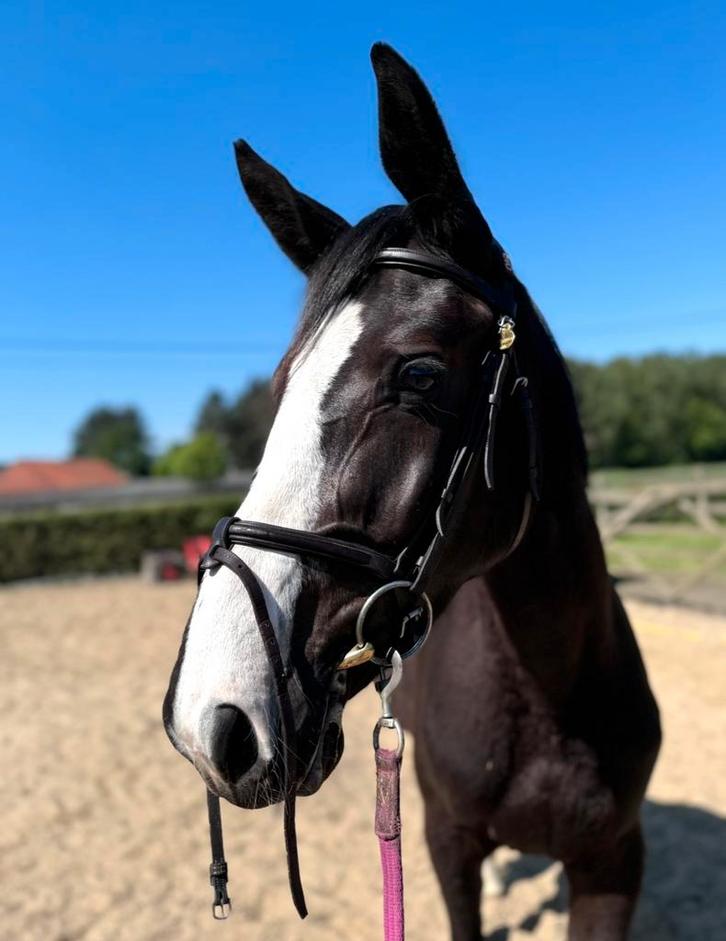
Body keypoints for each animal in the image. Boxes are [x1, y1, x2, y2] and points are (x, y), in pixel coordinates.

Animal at [163, 43, 661, 941]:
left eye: (419, 374)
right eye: (282, 386)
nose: (209, 719)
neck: (550, 689)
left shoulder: (615, 863)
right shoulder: (444, 843)